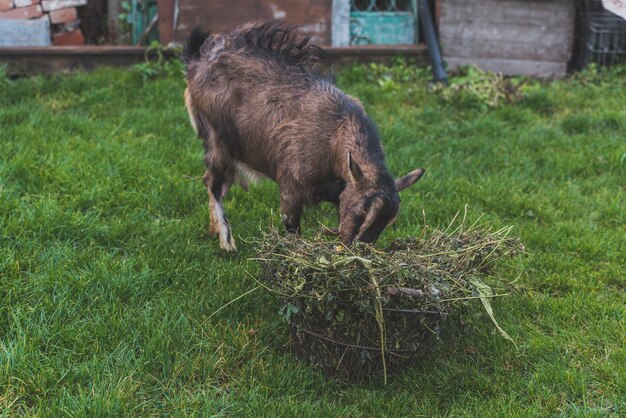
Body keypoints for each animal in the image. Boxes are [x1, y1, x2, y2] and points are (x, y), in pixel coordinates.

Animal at [182, 21, 424, 251]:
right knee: (212, 182)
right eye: (364, 208)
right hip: (218, 141)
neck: (334, 136)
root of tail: (197, 61)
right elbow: (292, 229)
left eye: (390, 221)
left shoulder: (338, 192)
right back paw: (226, 240)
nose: (357, 247)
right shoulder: (291, 187)